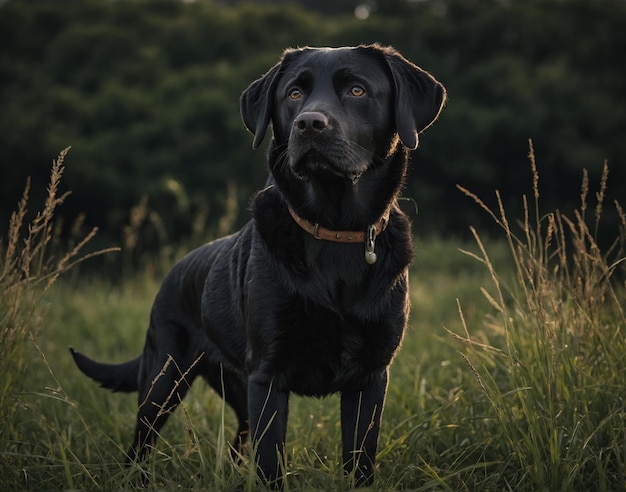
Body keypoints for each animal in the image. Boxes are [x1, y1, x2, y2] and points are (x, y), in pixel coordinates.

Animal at [70, 44, 444, 486]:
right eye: (294, 94)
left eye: (357, 90)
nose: (309, 124)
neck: (334, 231)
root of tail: (175, 270)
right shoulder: (267, 376)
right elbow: (270, 465)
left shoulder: (370, 377)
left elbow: (360, 462)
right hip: (164, 378)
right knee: (142, 444)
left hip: (232, 387)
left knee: (238, 442)